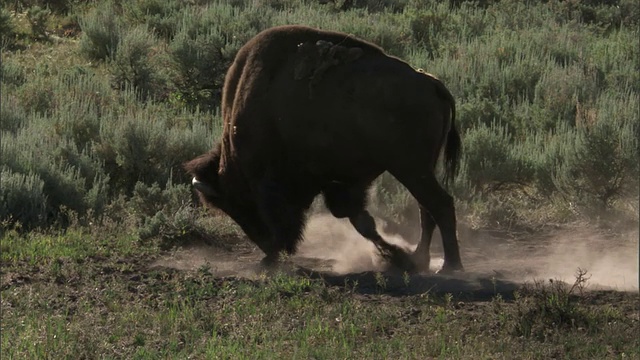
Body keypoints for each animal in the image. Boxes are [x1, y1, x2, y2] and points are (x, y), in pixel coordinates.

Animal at [186, 24, 464, 272]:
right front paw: (396, 256)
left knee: (440, 204)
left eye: (239, 202)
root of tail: (432, 83)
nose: (269, 249)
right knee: (427, 210)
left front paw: (396, 256)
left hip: (410, 168)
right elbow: (360, 220)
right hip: (421, 169)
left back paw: (450, 266)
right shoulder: (344, 183)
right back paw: (420, 260)